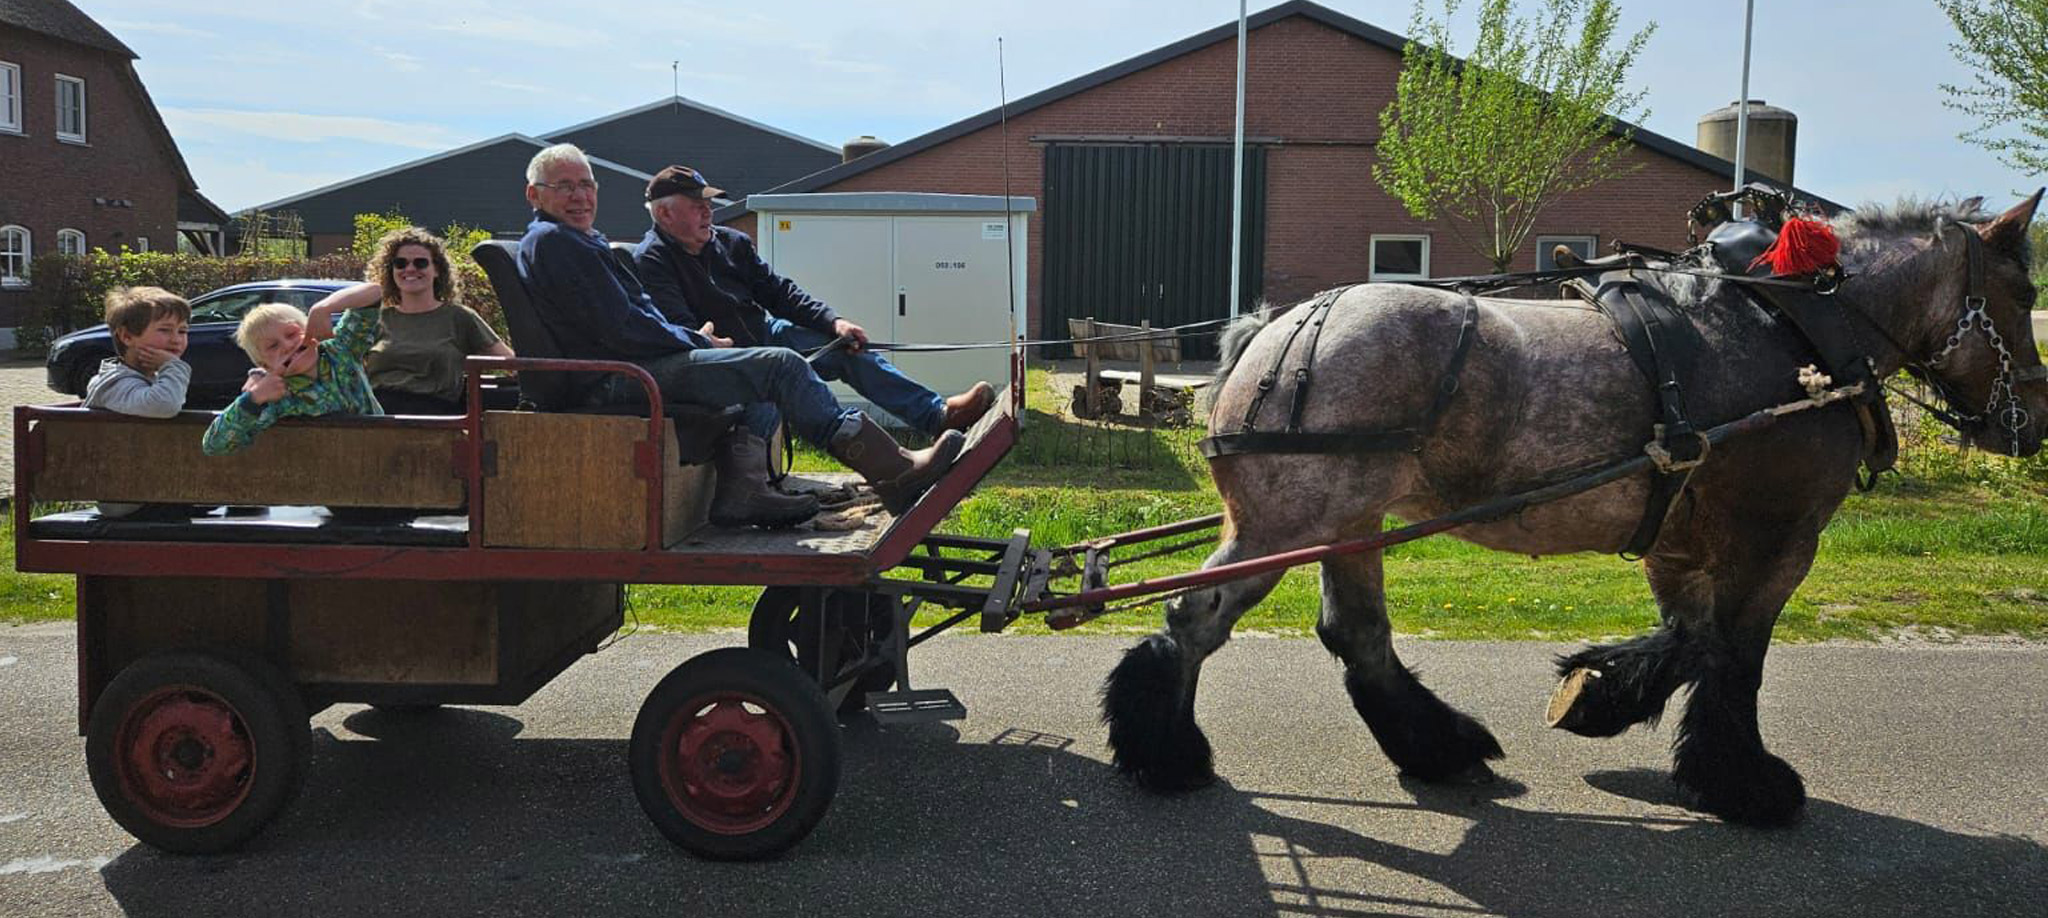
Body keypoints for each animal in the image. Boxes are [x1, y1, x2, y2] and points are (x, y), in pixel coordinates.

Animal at [1105, 191, 2048, 823]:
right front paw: (1747, 782)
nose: (2031, 421)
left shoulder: (1682, 534)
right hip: (1291, 519)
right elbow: (1733, 653)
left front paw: (1597, 693)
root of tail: (1273, 328)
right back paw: (1169, 755)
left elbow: (1690, 636)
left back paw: (1439, 746)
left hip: (1348, 521)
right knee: (1196, 619)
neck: (1794, 333)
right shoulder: (1777, 535)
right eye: (2024, 295)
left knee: (1356, 633)